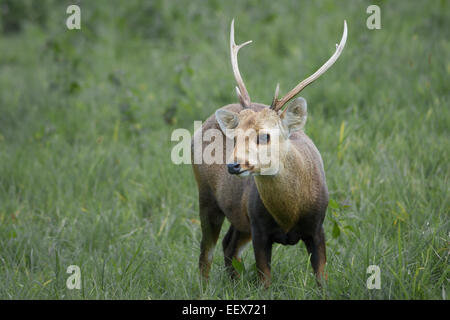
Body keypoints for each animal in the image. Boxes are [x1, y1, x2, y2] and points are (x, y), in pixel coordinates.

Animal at [191, 18, 348, 286]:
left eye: (265, 135)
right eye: (235, 137)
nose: (233, 165)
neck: (289, 215)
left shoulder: (317, 227)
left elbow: (321, 279)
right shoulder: (259, 228)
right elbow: (265, 281)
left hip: (238, 217)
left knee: (228, 246)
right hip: (207, 196)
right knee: (206, 253)